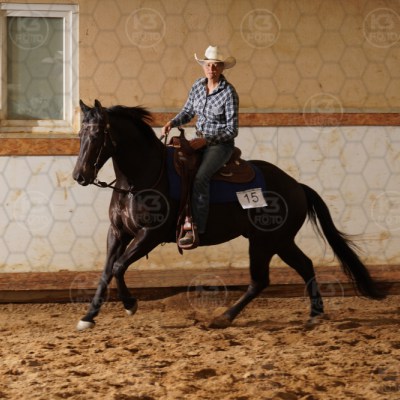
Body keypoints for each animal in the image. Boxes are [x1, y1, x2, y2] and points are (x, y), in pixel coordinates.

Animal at [72, 99, 385, 331]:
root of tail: (297, 185)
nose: (79, 176)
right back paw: (314, 314)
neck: (142, 177)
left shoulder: (149, 235)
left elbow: (118, 267)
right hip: (279, 241)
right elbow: (106, 271)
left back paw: (223, 318)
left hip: (265, 242)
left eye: (97, 135)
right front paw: (88, 317)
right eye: (80, 135)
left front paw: (130, 304)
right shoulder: (118, 233)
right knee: (305, 266)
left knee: (261, 280)